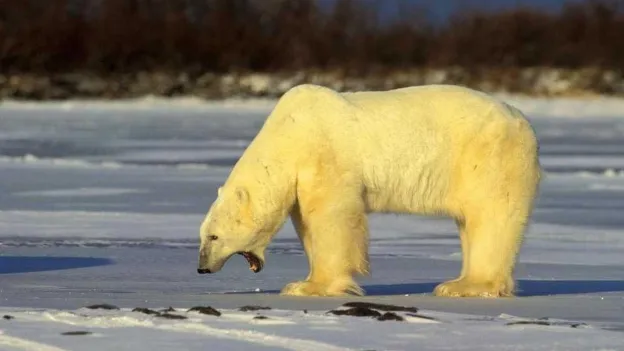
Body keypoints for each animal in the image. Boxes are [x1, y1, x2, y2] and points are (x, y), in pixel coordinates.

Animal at [199, 84, 540, 298]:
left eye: (213, 236)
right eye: (203, 235)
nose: (202, 268)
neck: (287, 135)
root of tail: (523, 121)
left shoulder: (324, 154)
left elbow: (331, 218)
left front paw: (308, 286)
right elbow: (307, 223)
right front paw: (306, 280)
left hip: (488, 157)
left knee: (490, 216)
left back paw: (463, 285)